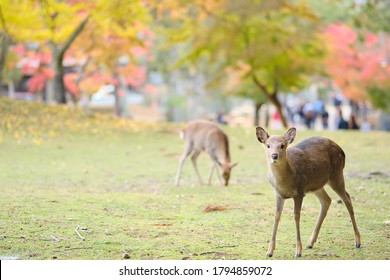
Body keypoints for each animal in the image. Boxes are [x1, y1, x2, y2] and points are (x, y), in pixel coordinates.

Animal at [254, 127, 362, 258]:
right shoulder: (278, 194)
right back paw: (310, 243)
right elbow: (276, 216)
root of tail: (342, 151)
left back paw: (357, 242)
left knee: (347, 199)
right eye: (268, 145)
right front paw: (269, 251)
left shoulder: (299, 192)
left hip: (337, 175)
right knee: (327, 200)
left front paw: (298, 251)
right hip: (316, 184)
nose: (274, 156)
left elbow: (296, 216)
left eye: (282, 145)